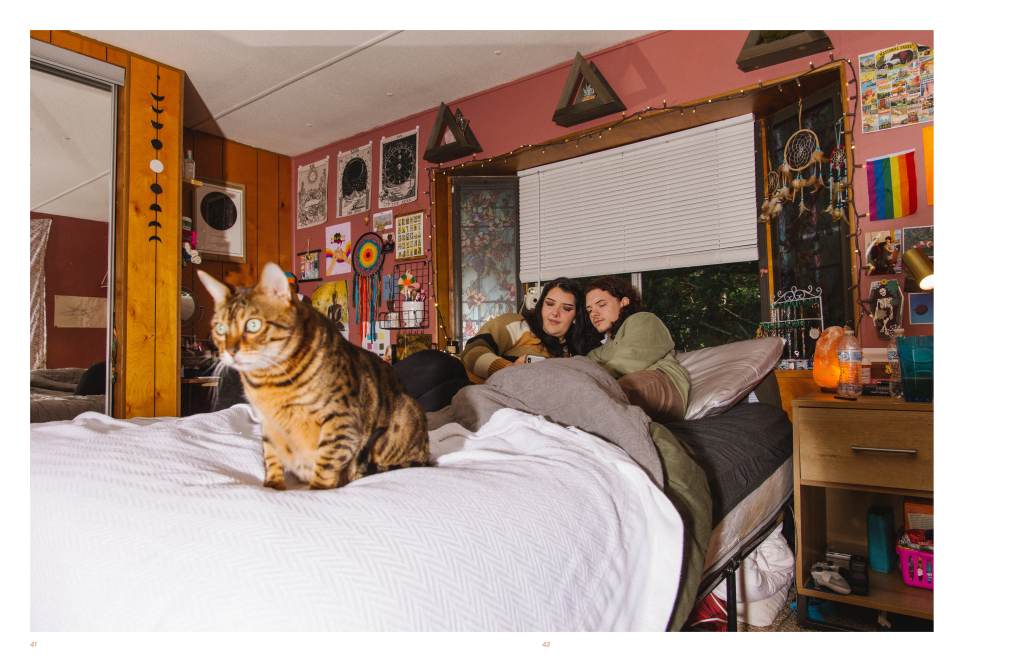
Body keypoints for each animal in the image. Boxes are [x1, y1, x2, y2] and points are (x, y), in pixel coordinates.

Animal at [197, 262, 429, 490]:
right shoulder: (268, 425)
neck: (269, 382)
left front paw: (316, 489)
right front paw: (272, 485)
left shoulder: (341, 420)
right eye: (220, 328)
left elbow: (326, 464)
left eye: (253, 325)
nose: (230, 351)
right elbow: (271, 457)